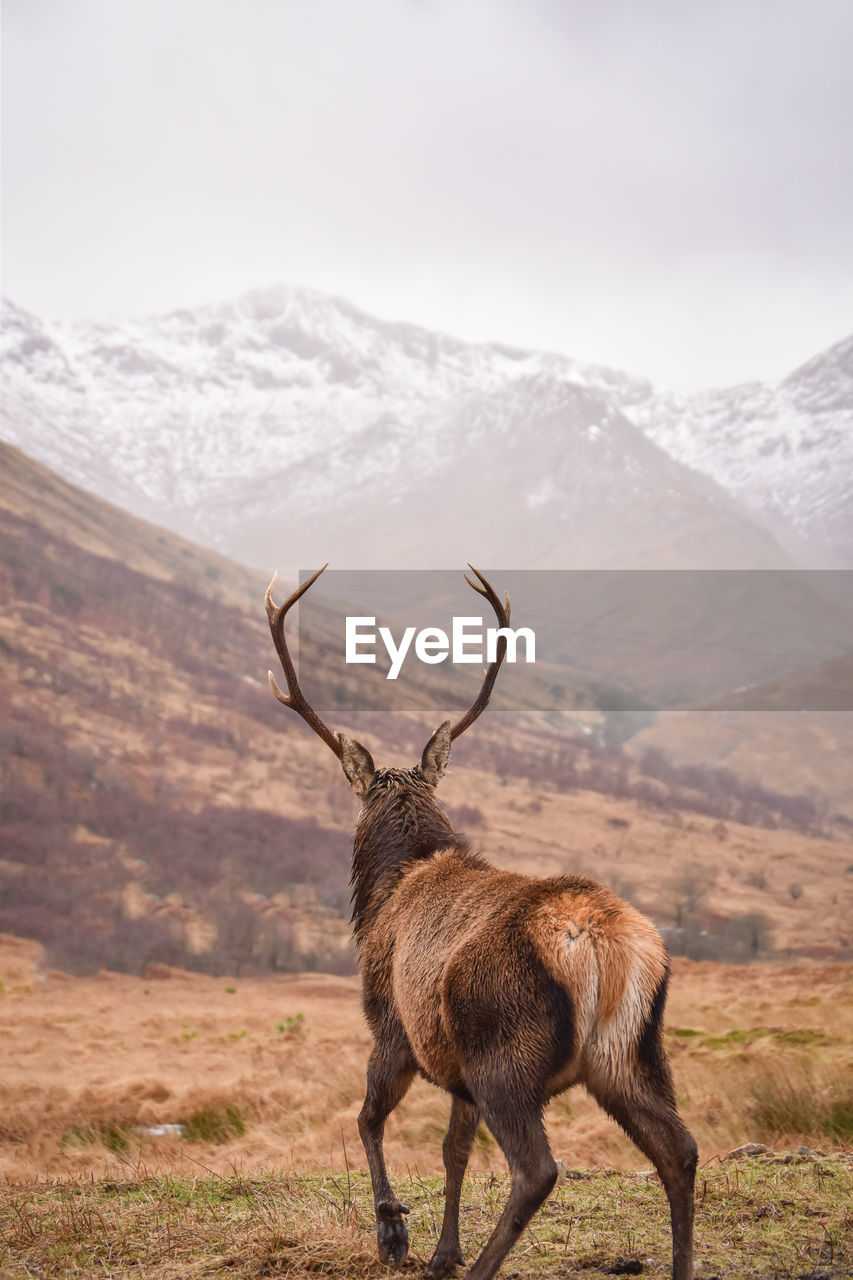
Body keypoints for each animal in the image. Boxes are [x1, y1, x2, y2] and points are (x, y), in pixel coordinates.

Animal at [266, 565, 696, 1280]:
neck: (386, 891)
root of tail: (599, 944)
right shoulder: (456, 1072)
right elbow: (453, 1150)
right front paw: (443, 1251)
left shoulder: (394, 1028)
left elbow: (367, 1121)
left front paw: (394, 1233)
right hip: (634, 1052)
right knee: (680, 1150)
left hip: (506, 1052)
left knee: (538, 1170)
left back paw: (479, 1267)